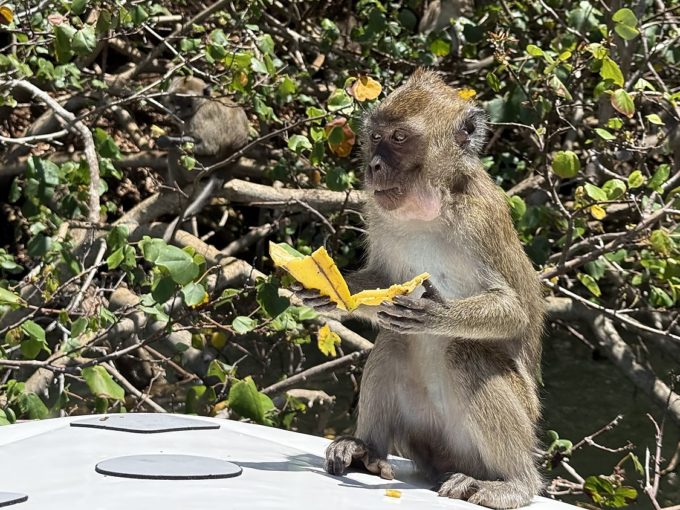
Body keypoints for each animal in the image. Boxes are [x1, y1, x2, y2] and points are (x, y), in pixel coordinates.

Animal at [156, 76, 249, 240]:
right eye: (175, 99)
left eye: (187, 100)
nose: (177, 109)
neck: (202, 104)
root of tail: (227, 165)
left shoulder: (202, 116)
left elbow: (208, 147)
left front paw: (167, 140)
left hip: (202, 167)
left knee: (175, 155)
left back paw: (176, 185)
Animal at [299, 69, 544, 509]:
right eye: (376, 137)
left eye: (400, 138)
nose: (375, 165)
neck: (429, 207)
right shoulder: (377, 212)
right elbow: (382, 283)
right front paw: (330, 291)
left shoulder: (480, 219)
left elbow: (514, 311)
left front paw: (439, 314)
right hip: (425, 439)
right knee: (393, 341)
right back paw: (364, 450)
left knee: (466, 352)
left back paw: (515, 483)